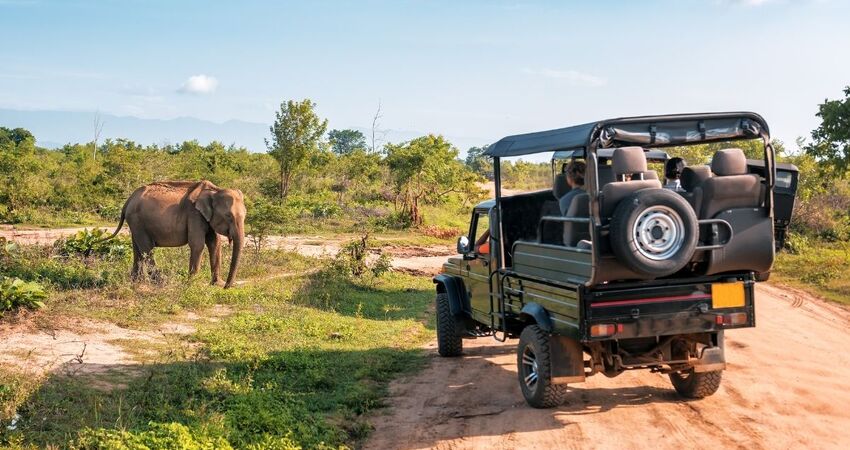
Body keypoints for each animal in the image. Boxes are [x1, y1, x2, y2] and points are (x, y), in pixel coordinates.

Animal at [103, 180, 245, 288]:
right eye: (228, 216)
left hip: (135, 223)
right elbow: (198, 245)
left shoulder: (206, 218)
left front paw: (217, 284)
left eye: (245, 215)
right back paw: (161, 282)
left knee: (137, 250)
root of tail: (128, 200)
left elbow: (215, 244)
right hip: (137, 221)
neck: (215, 190)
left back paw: (136, 282)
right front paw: (191, 284)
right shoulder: (194, 214)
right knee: (147, 249)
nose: (227, 286)